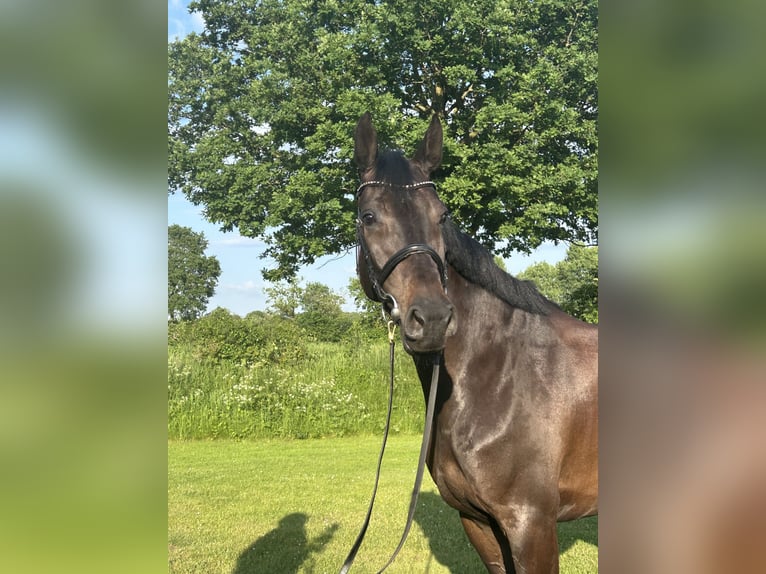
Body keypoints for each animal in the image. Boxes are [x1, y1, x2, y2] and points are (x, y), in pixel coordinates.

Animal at [354, 113, 600, 574]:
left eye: (442, 215)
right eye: (369, 216)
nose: (431, 318)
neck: (498, 375)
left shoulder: (531, 525)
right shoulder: (478, 522)